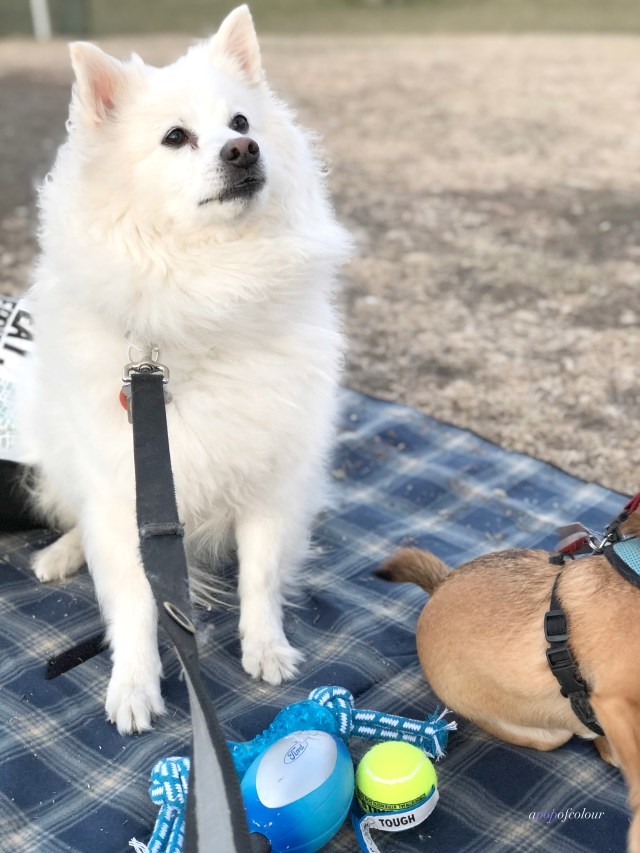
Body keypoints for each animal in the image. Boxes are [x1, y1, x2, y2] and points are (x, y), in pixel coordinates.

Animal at [18, 5, 350, 732]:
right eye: (176, 138)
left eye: (241, 123)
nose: (243, 151)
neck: (209, 291)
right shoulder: (123, 502)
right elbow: (136, 609)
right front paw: (135, 686)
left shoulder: (266, 481)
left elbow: (259, 576)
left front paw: (266, 648)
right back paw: (60, 553)